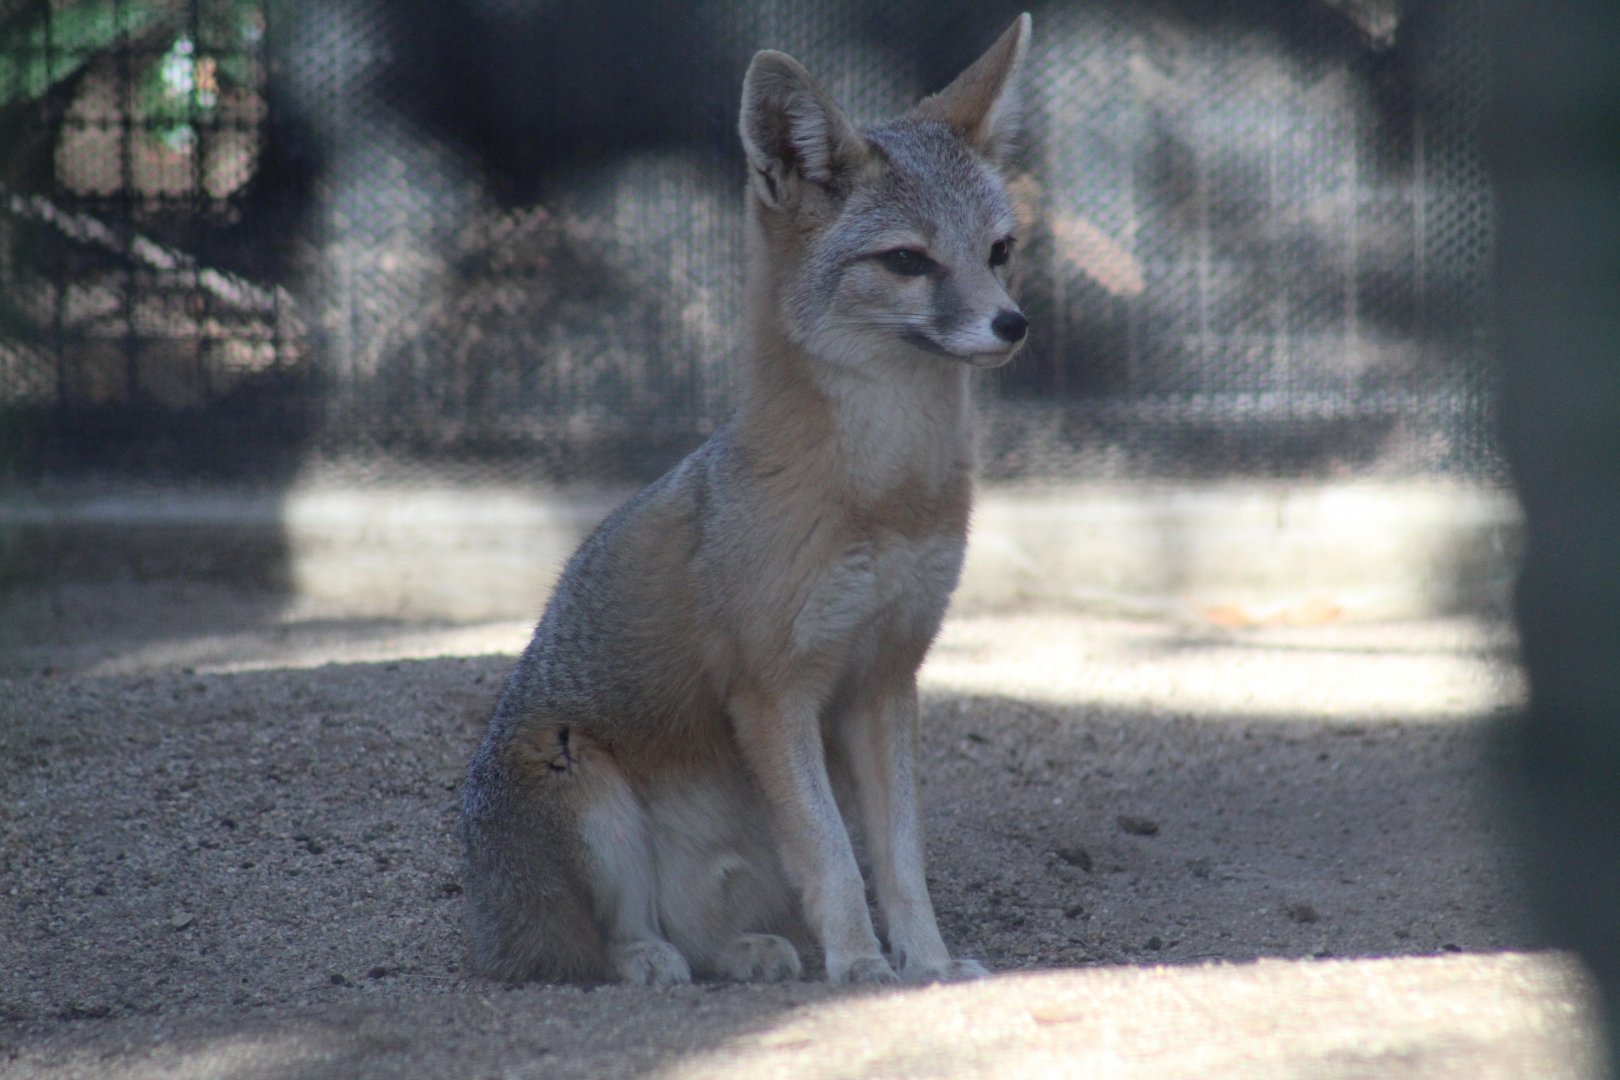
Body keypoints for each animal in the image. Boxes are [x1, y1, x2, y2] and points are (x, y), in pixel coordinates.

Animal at [460, 14, 1032, 986]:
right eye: (908, 261)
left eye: (1000, 251)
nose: (1012, 324)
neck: (885, 494)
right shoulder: (775, 689)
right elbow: (834, 852)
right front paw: (862, 966)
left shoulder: (885, 679)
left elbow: (900, 858)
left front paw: (926, 962)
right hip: (585, 786)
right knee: (599, 942)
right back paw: (647, 959)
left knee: (706, 936)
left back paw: (746, 951)